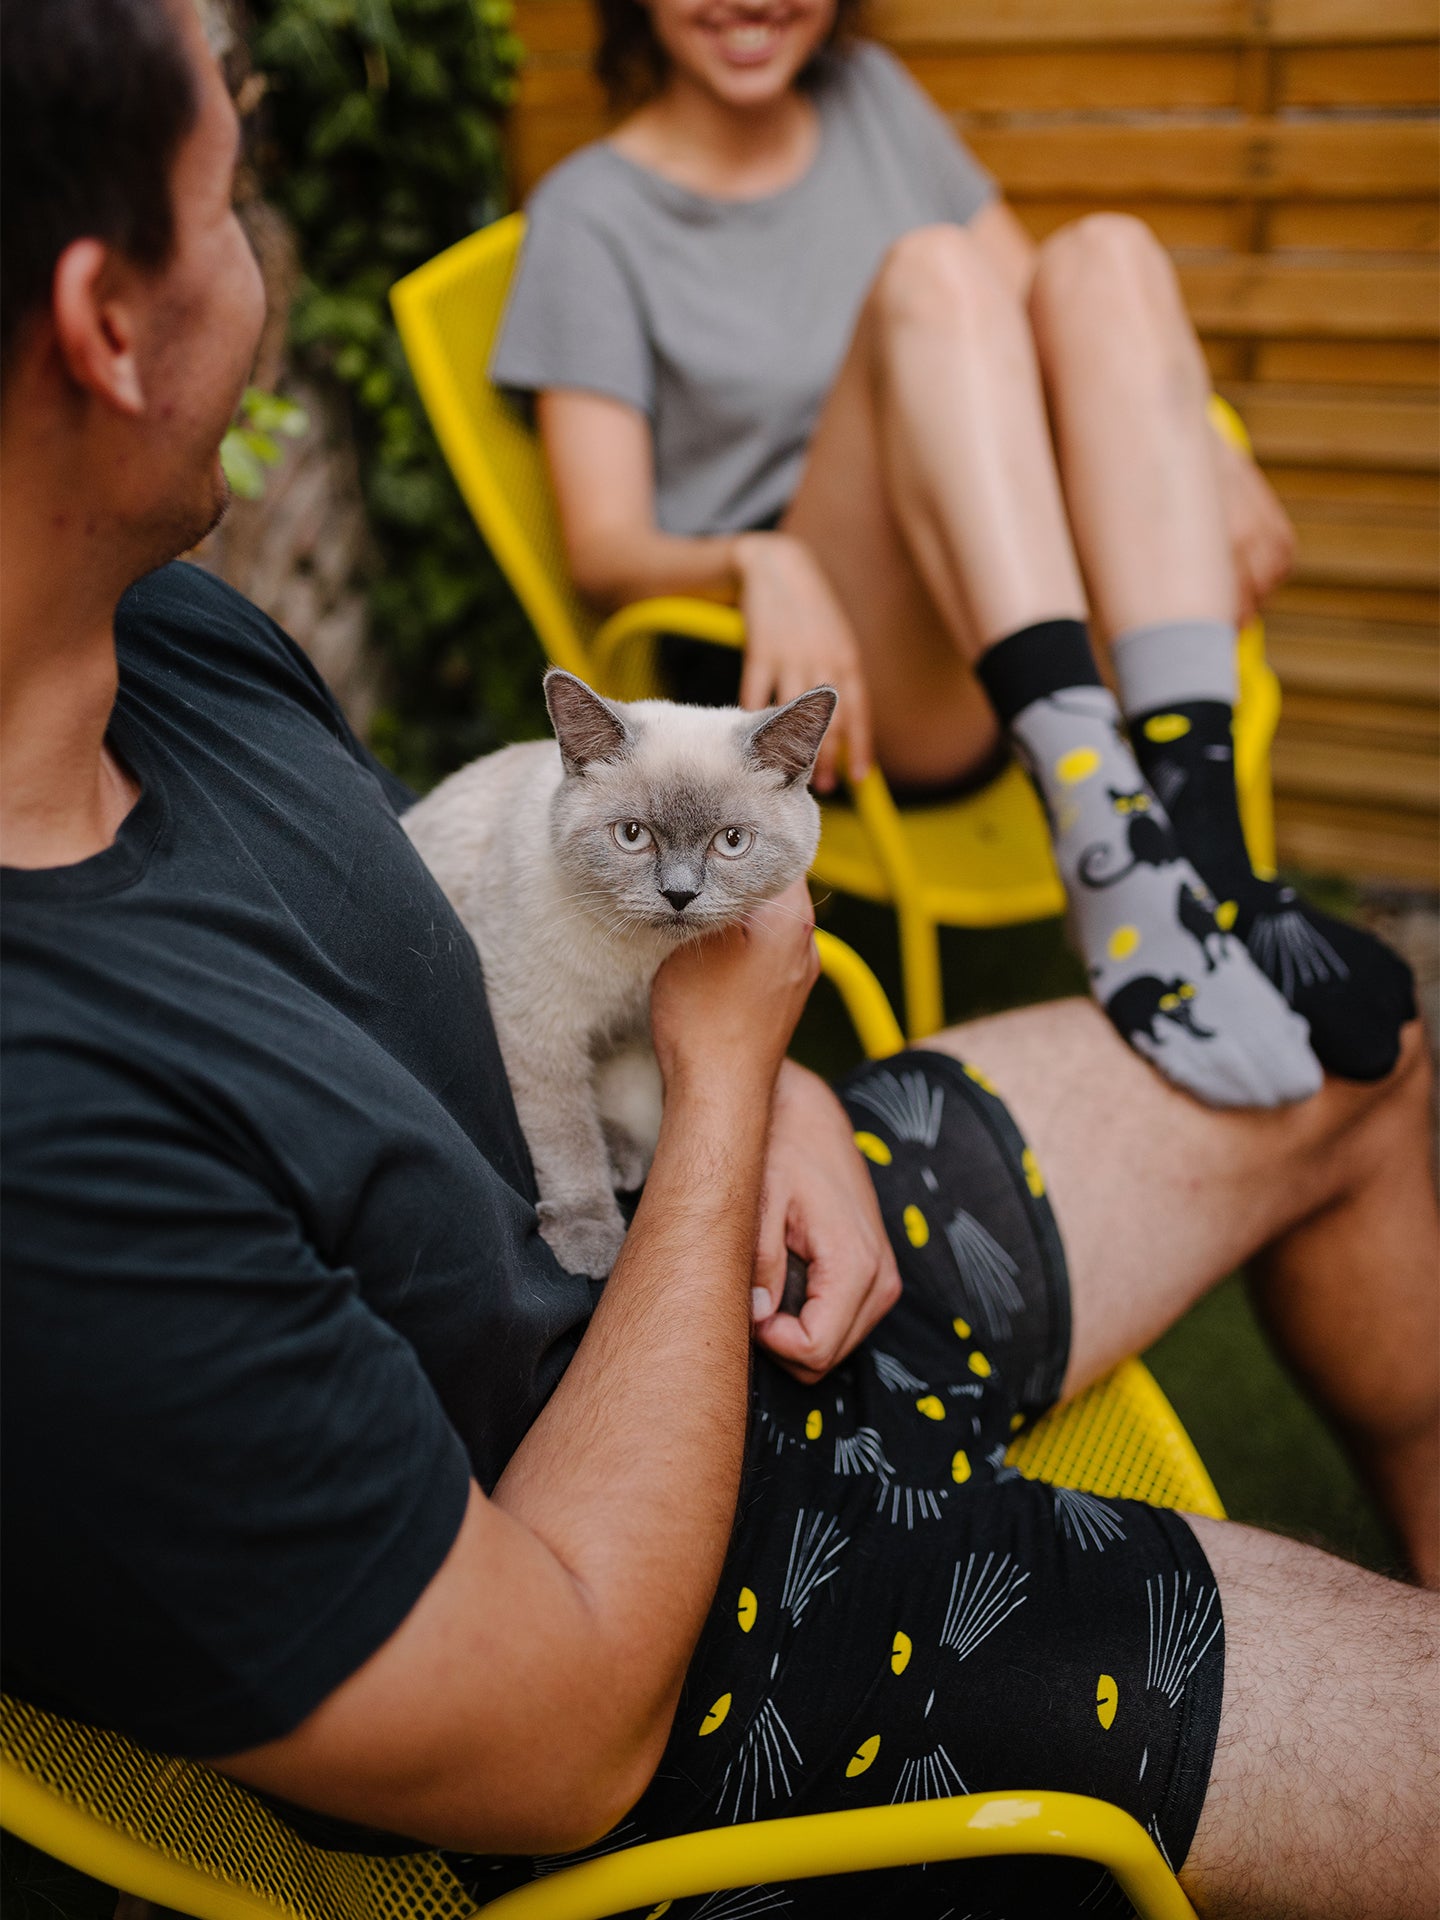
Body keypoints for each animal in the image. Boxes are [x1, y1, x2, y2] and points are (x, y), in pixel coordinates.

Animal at [403, 668, 833, 1282]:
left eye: (731, 841)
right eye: (633, 835)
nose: (679, 895)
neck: (639, 969)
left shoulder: (634, 1030)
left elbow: (627, 1101)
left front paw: (619, 1159)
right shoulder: (539, 1027)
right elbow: (567, 1138)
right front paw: (591, 1239)